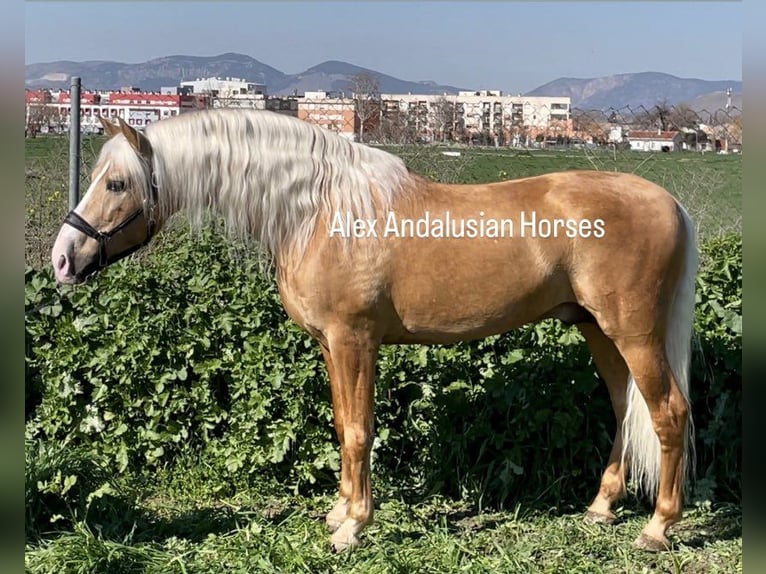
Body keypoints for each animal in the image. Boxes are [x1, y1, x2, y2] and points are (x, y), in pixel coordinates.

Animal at [52, 109, 704, 552]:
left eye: (116, 184)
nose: (63, 260)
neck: (318, 212)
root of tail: (671, 203)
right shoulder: (330, 346)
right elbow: (343, 426)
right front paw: (340, 512)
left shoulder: (354, 341)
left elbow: (361, 432)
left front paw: (354, 528)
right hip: (598, 331)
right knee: (626, 409)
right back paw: (601, 508)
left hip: (634, 333)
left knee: (668, 412)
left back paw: (658, 528)